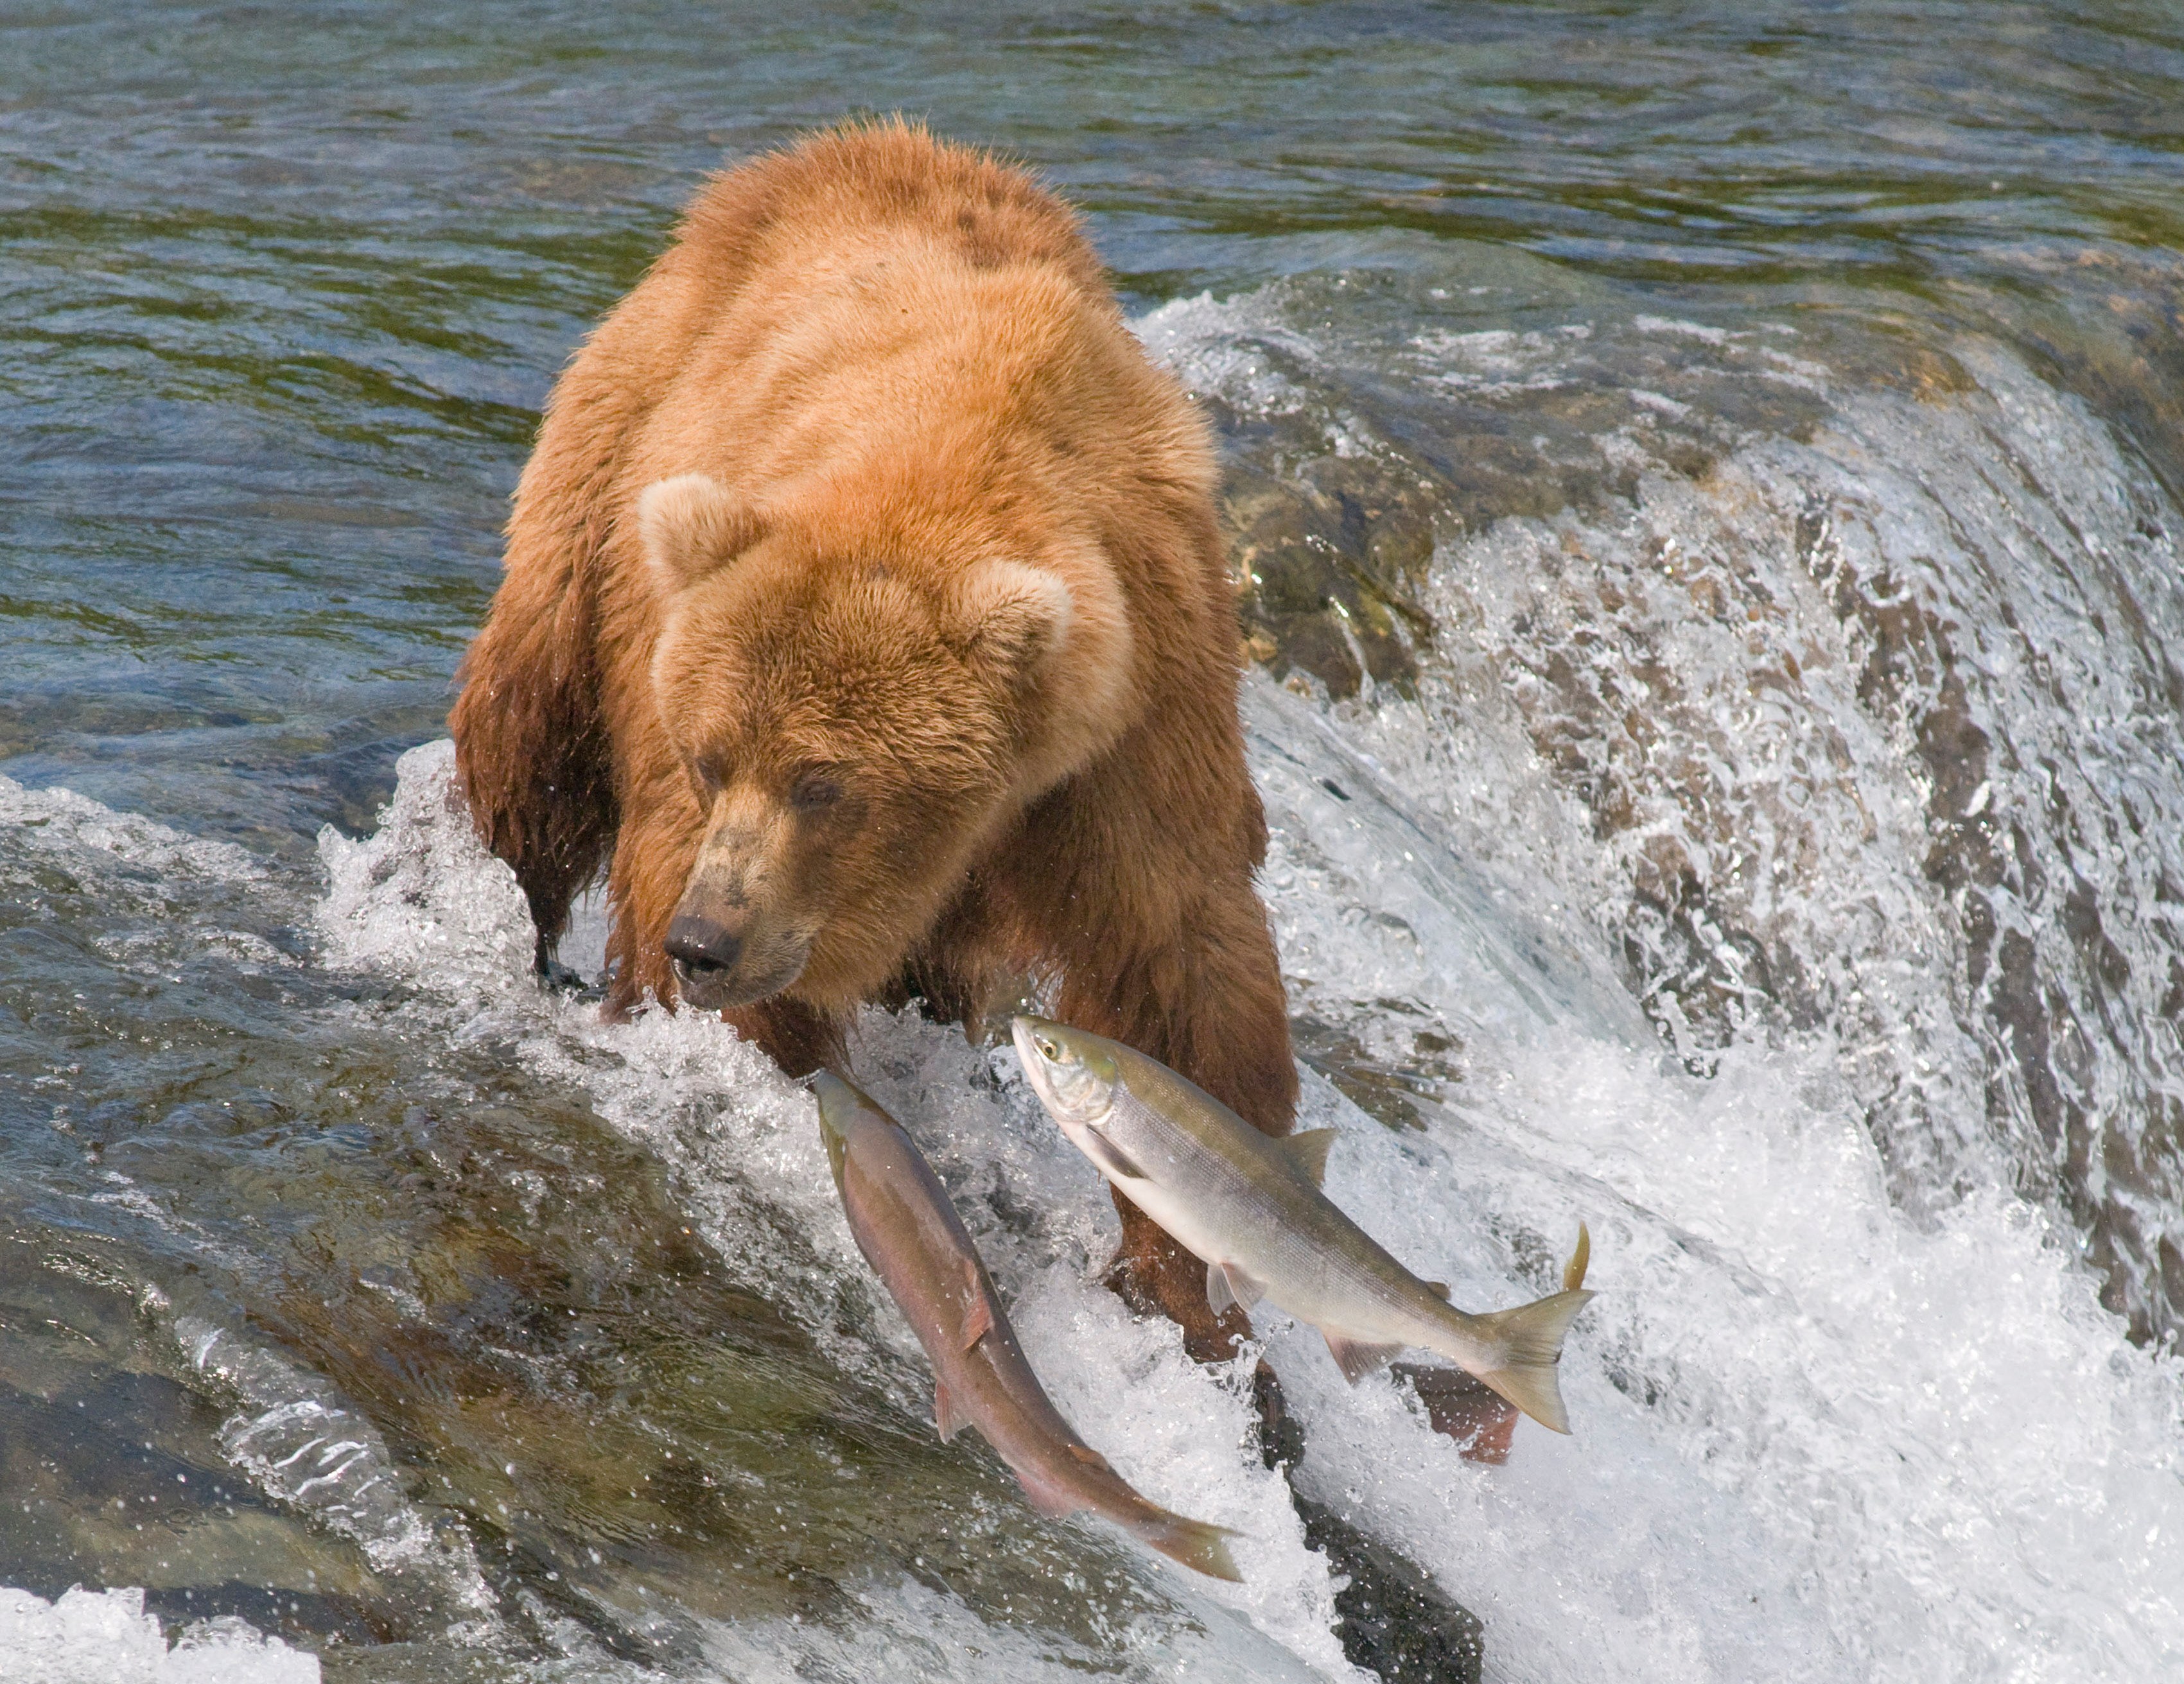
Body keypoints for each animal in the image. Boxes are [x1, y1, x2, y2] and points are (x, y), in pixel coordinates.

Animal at [448, 115, 1293, 1354]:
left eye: (823, 782)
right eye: (711, 757)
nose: (709, 940)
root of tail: (817, 152)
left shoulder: (1134, 719)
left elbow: (1178, 972)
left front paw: (1193, 1285)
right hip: (611, 467)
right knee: (532, 732)